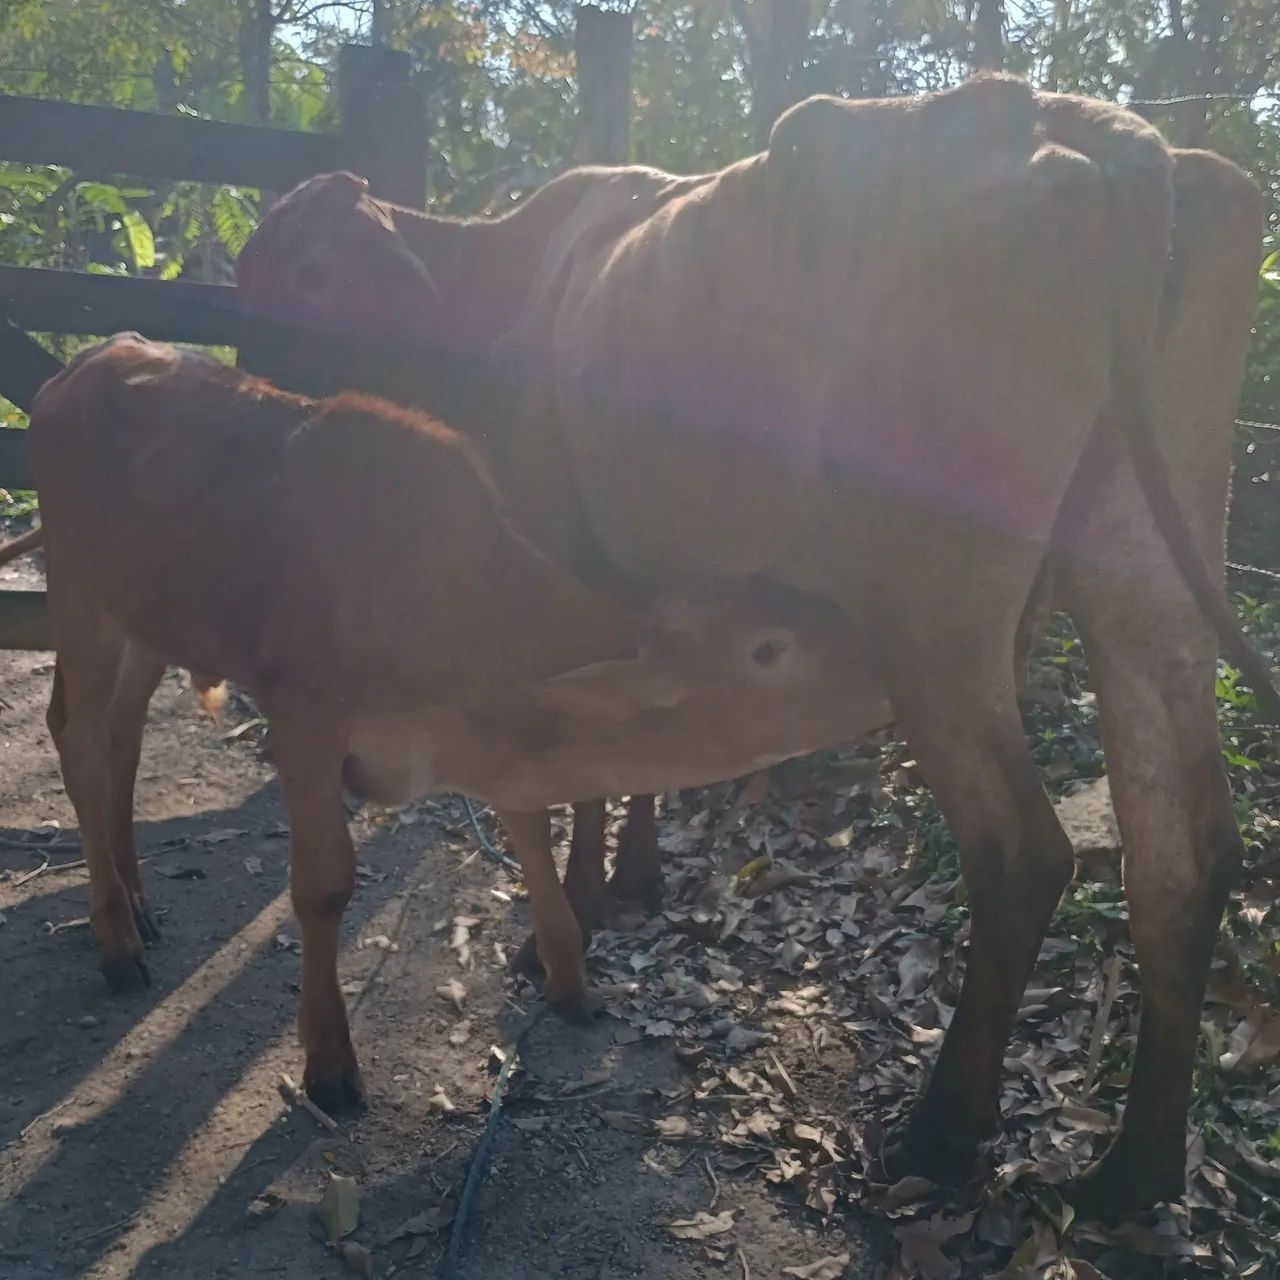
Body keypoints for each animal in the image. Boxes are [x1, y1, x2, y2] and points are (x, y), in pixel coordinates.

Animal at [21, 332, 885, 1110]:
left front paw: (569, 978)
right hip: (80, 601)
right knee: (78, 737)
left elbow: (533, 835)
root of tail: (81, 364)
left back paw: (137, 899)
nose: (886, 668)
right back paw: (116, 938)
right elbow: (324, 887)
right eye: (770, 649)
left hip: (147, 623)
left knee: (123, 737)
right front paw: (328, 1061)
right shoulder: (304, 725)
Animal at [234, 74, 1273, 1213]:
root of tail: (1099, 134)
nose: (245, 384)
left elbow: (576, 759)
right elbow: (632, 749)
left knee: (1022, 854)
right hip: (1144, 568)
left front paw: (572, 920)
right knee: (1181, 849)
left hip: (934, 612)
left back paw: (941, 1131)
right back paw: (1135, 1167)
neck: (498, 291)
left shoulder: (556, 553)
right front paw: (636, 879)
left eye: (311, 271)